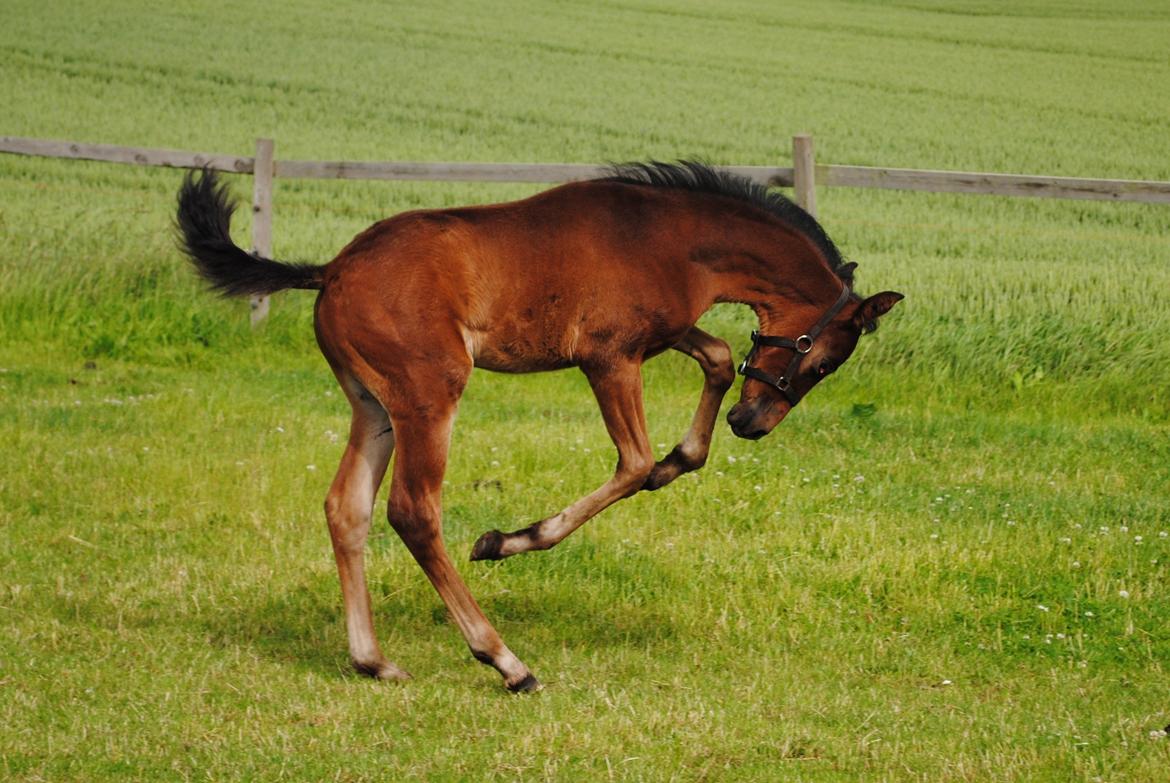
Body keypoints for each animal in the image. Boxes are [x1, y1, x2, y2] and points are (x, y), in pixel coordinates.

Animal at [175, 161, 903, 688]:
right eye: (822, 359)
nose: (752, 423)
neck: (672, 239)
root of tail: (331, 269)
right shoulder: (609, 356)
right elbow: (634, 463)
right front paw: (506, 539)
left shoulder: (661, 336)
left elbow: (720, 359)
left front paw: (682, 456)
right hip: (429, 393)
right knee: (412, 510)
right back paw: (505, 661)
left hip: (373, 404)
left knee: (344, 506)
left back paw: (374, 661)